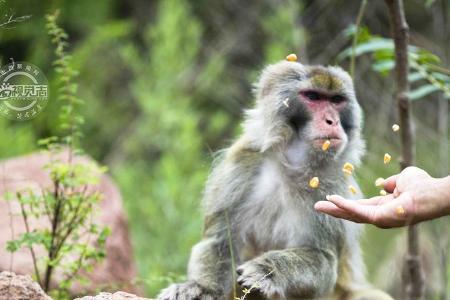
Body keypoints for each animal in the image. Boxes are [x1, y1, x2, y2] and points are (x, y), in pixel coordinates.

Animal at [157, 59, 394, 298]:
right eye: (313, 97)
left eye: (336, 100)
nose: (332, 121)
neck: (291, 164)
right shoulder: (241, 165)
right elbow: (220, 241)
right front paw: (200, 287)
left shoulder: (332, 185)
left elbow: (323, 260)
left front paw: (267, 271)